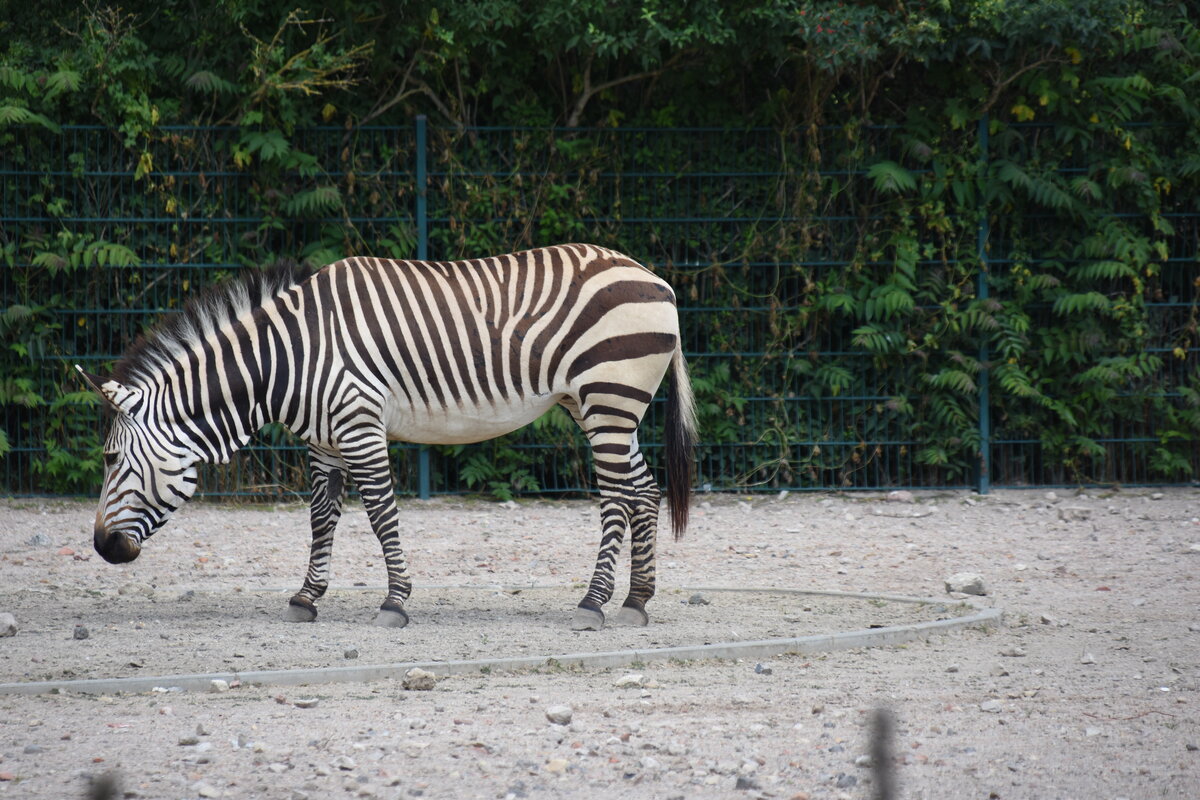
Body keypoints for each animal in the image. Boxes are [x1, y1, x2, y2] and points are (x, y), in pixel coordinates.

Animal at [79, 244, 700, 633]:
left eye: (110, 459)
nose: (102, 547)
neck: (286, 357)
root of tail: (657, 279)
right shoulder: (324, 440)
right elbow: (322, 518)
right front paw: (306, 598)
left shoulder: (359, 424)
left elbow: (380, 513)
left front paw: (395, 601)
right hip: (603, 407)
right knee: (644, 492)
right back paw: (636, 603)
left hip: (608, 398)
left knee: (617, 499)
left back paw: (593, 604)